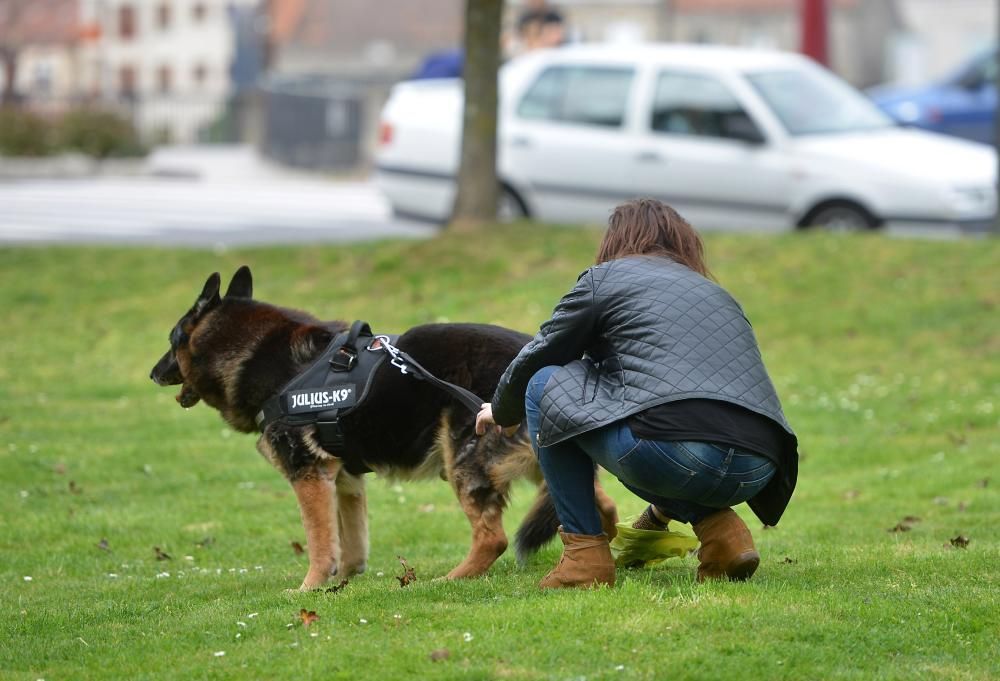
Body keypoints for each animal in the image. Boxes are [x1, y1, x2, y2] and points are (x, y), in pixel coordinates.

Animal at [148, 266, 616, 588]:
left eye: (171, 340)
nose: (153, 373)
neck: (261, 356)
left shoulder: (308, 476)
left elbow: (320, 542)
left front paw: (309, 588)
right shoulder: (345, 481)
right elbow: (351, 543)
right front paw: (343, 584)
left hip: (464, 462)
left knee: (493, 538)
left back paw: (450, 580)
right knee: (599, 505)